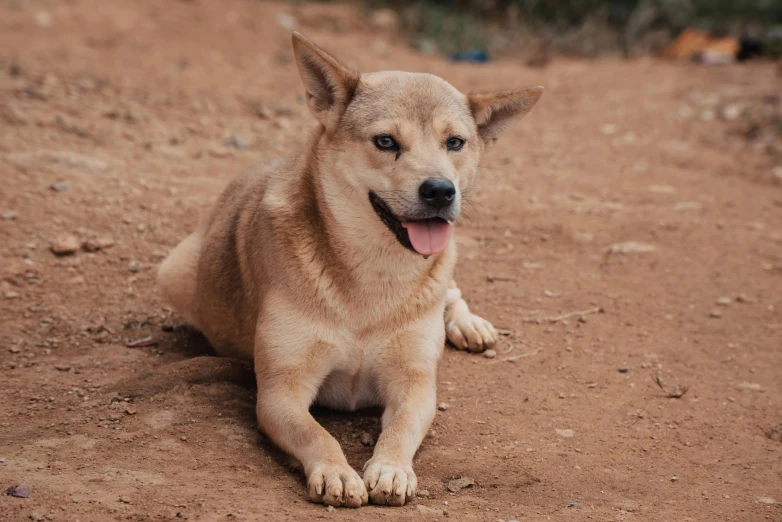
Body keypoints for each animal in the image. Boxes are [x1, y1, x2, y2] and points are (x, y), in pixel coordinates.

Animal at [156, 31, 544, 504]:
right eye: (386, 142)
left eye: (454, 142)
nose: (440, 191)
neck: (373, 274)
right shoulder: (280, 392)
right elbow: (316, 434)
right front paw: (337, 472)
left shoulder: (415, 385)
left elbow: (398, 431)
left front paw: (391, 469)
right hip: (173, 271)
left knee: (449, 289)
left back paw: (467, 323)